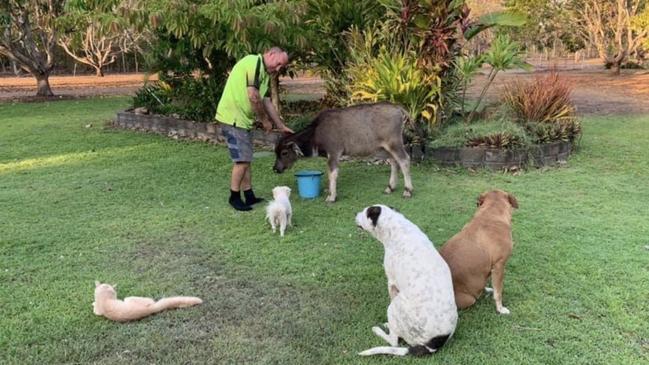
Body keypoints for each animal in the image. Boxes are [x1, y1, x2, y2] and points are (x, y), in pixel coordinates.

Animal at [270, 101, 412, 202]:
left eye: (284, 153)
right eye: (276, 153)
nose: (276, 169)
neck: (316, 133)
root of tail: (396, 108)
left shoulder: (334, 152)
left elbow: (332, 174)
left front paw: (332, 196)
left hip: (394, 143)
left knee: (404, 160)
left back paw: (408, 190)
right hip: (384, 148)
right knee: (394, 162)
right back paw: (390, 187)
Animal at [354, 205, 456, 356]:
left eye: (365, 212)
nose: (355, 213)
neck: (396, 226)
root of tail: (434, 344)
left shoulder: (391, 282)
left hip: (394, 307)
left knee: (394, 341)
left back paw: (380, 330)